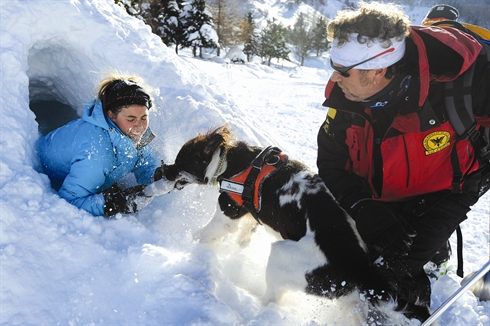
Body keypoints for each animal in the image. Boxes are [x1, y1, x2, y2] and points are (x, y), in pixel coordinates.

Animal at [158, 126, 428, 322]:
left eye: (180, 163)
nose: (160, 171)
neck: (233, 162)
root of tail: (360, 268)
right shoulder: (250, 216)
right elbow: (245, 236)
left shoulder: (229, 212)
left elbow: (206, 234)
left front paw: (189, 245)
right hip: (344, 294)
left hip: (281, 258)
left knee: (272, 299)